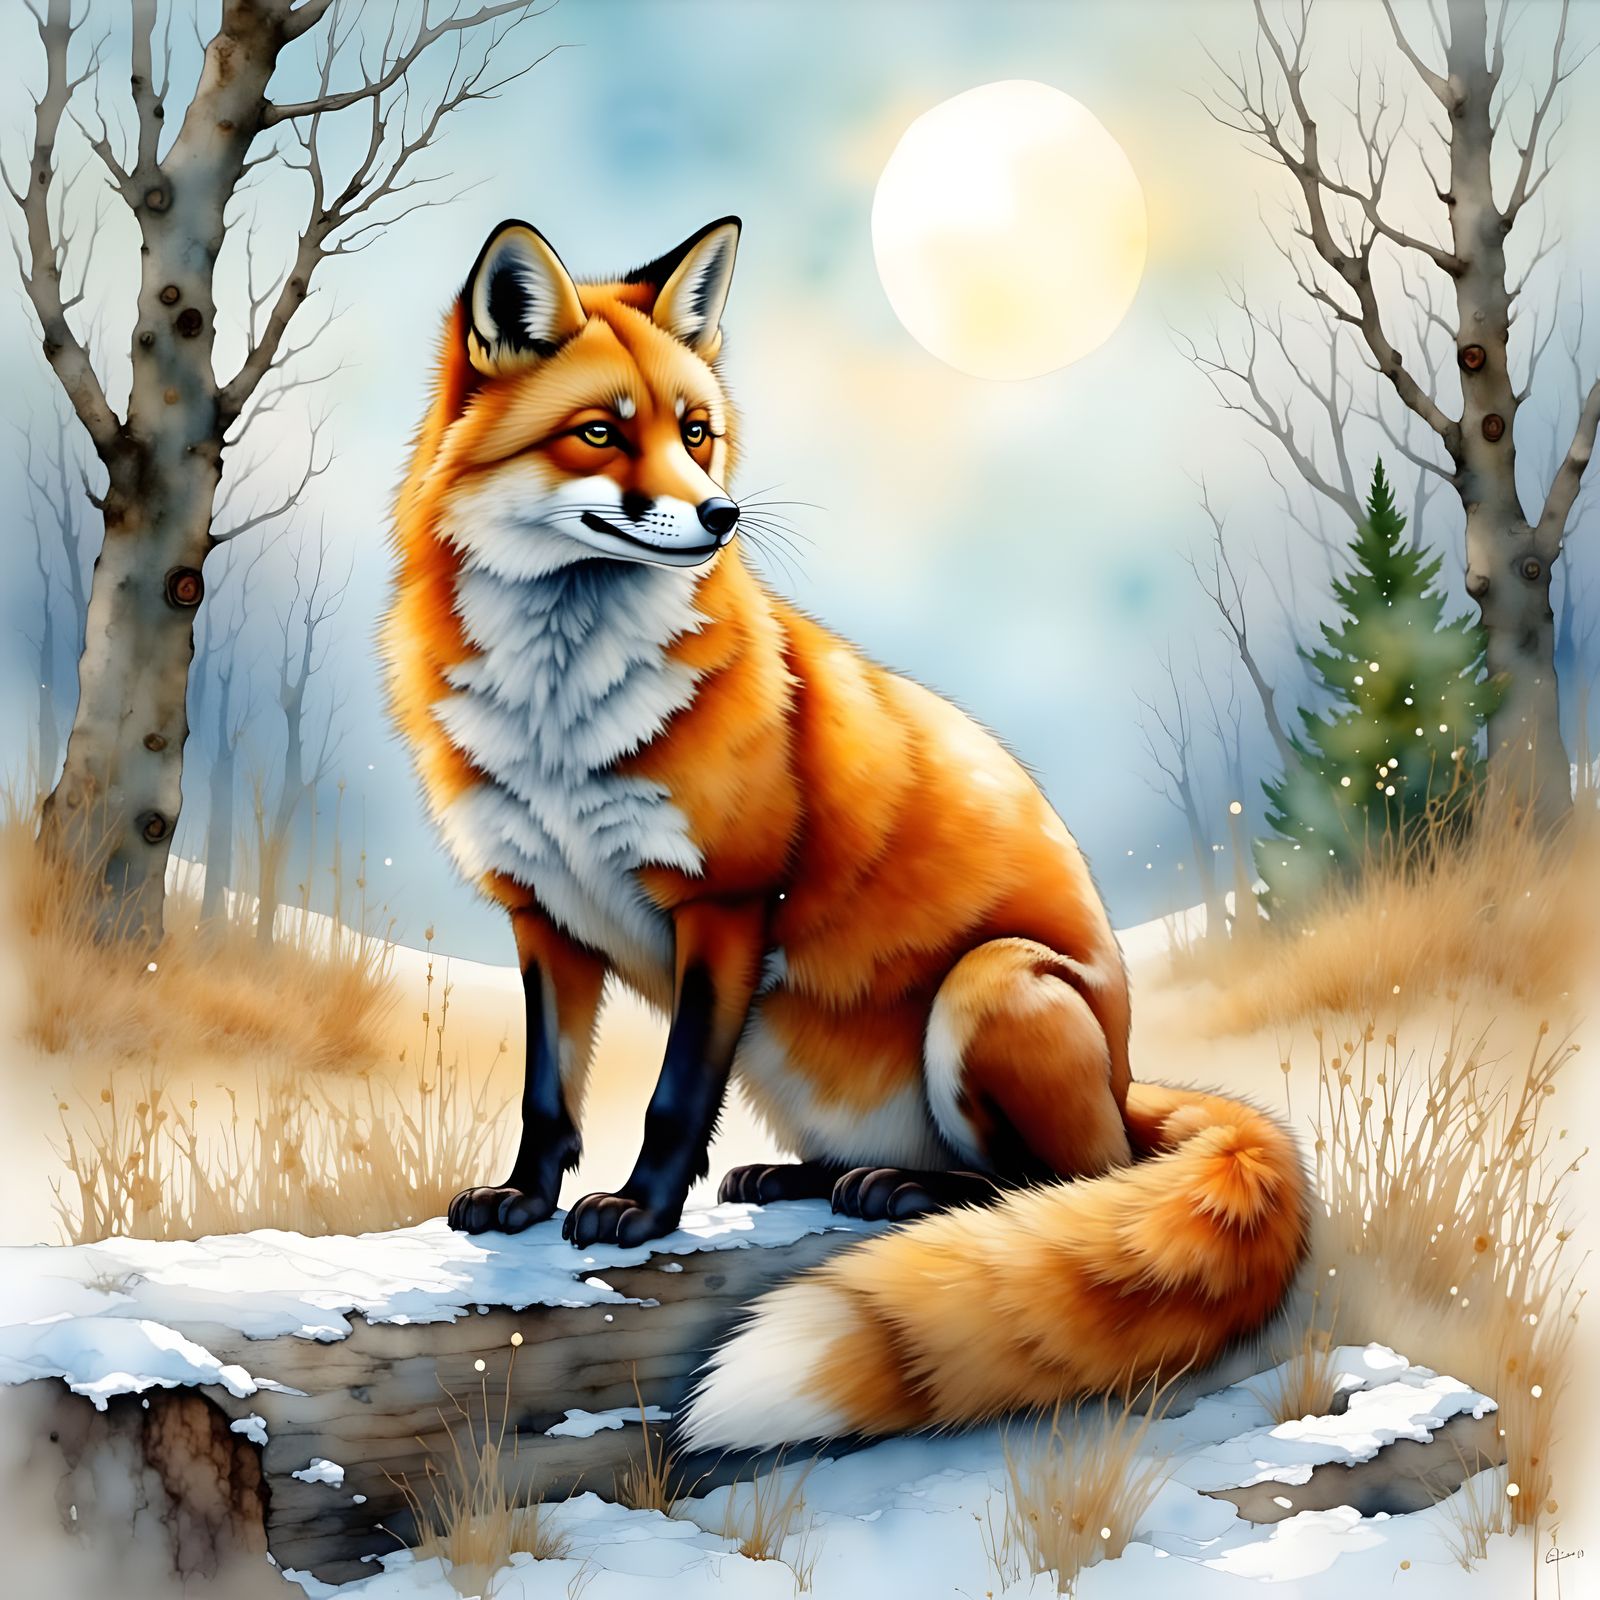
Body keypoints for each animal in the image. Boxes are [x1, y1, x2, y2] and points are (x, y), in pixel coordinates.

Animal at [383, 215, 1309, 1452]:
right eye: (599, 433)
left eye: (695, 433)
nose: (720, 517)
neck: (559, 719)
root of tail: (1124, 1079)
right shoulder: (541, 911)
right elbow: (547, 1092)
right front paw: (525, 1198)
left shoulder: (724, 902)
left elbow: (672, 1095)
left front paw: (638, 1208)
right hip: (793, 1049)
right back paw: (805, 1178)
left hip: (989, 988)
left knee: (1063, 1182)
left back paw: (912, 1194)